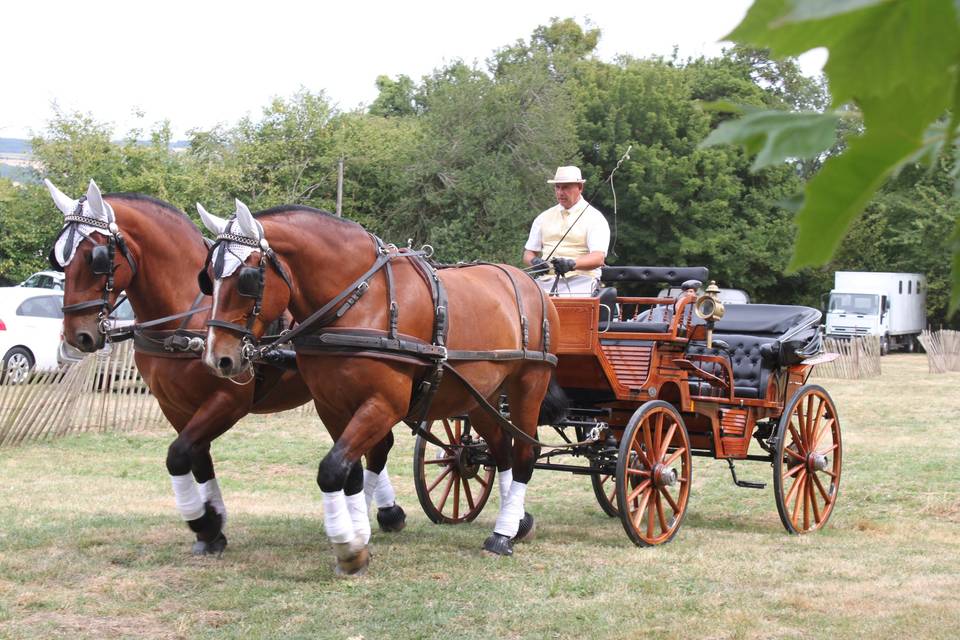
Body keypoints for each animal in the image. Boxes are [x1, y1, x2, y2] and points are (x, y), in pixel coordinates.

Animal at [46, 180, 404, 556]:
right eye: (59, 258)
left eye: (96, 258)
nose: (77, 335)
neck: (186, 317)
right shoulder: (174, 406)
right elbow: (197, 458)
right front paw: (212, 526)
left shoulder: (228, 401)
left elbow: (179, 454)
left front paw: (204, 521)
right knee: (375, 445)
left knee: (378, 445)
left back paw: (381, 513)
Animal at [198, 200, 568, 576]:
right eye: (208, 278)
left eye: (247, 279)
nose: (218, 358)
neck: (360, 302)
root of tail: (531, 283)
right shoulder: (330, 406)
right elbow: (351, 473)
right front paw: (358, 534)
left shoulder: (384, 404)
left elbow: (332, 469)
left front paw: (349, 549)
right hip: (482, 398)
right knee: (501, 451)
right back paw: (518, 522)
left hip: (528, 385)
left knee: (524, 454)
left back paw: (502, 535)